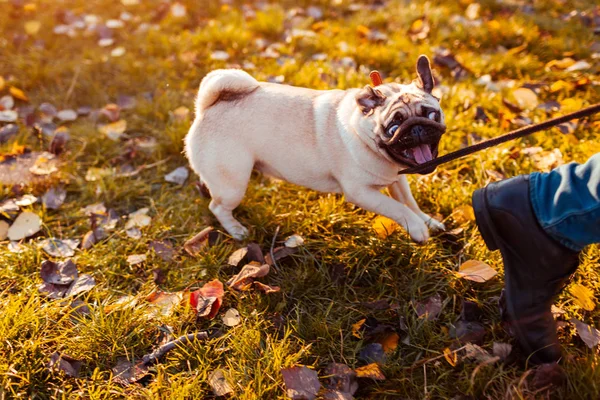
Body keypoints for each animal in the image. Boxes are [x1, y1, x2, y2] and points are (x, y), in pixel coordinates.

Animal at [186, 54, 446, 242]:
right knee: (217, 206)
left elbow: (409, 202)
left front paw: (427, 221)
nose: (416, 128)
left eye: (431, 115)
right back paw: (237, 230)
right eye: (393, 126)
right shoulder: (361, 192)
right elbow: (396, 208)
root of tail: (207, 107)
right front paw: (417, 228)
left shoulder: (397, 179)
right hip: (232, 184)